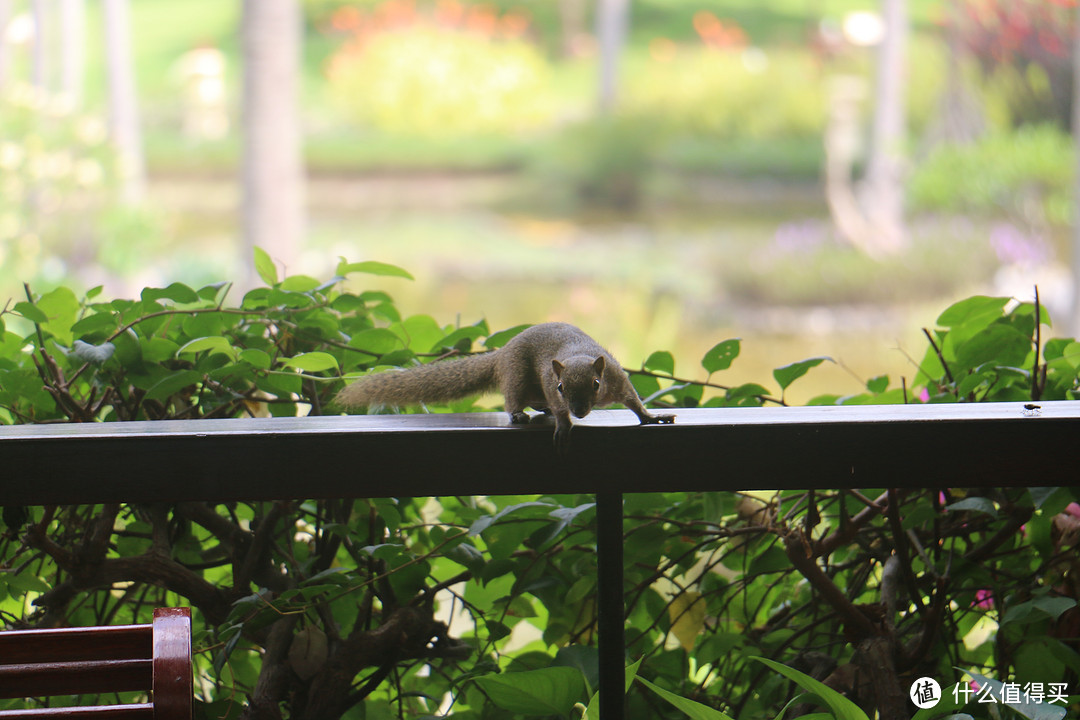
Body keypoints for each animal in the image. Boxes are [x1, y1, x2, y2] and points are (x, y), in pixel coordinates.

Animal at [336, 323, 673, 453]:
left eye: (596, 384)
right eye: (561, 386)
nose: (578, 410)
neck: (577, 355)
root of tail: (501, 355)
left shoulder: (617, 378)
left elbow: (633, 401)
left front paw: (651, 417)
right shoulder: (549, 385)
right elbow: (560, 412)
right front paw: (564, 426)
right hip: (518, 377)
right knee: (512, 399)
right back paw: (519, 414)